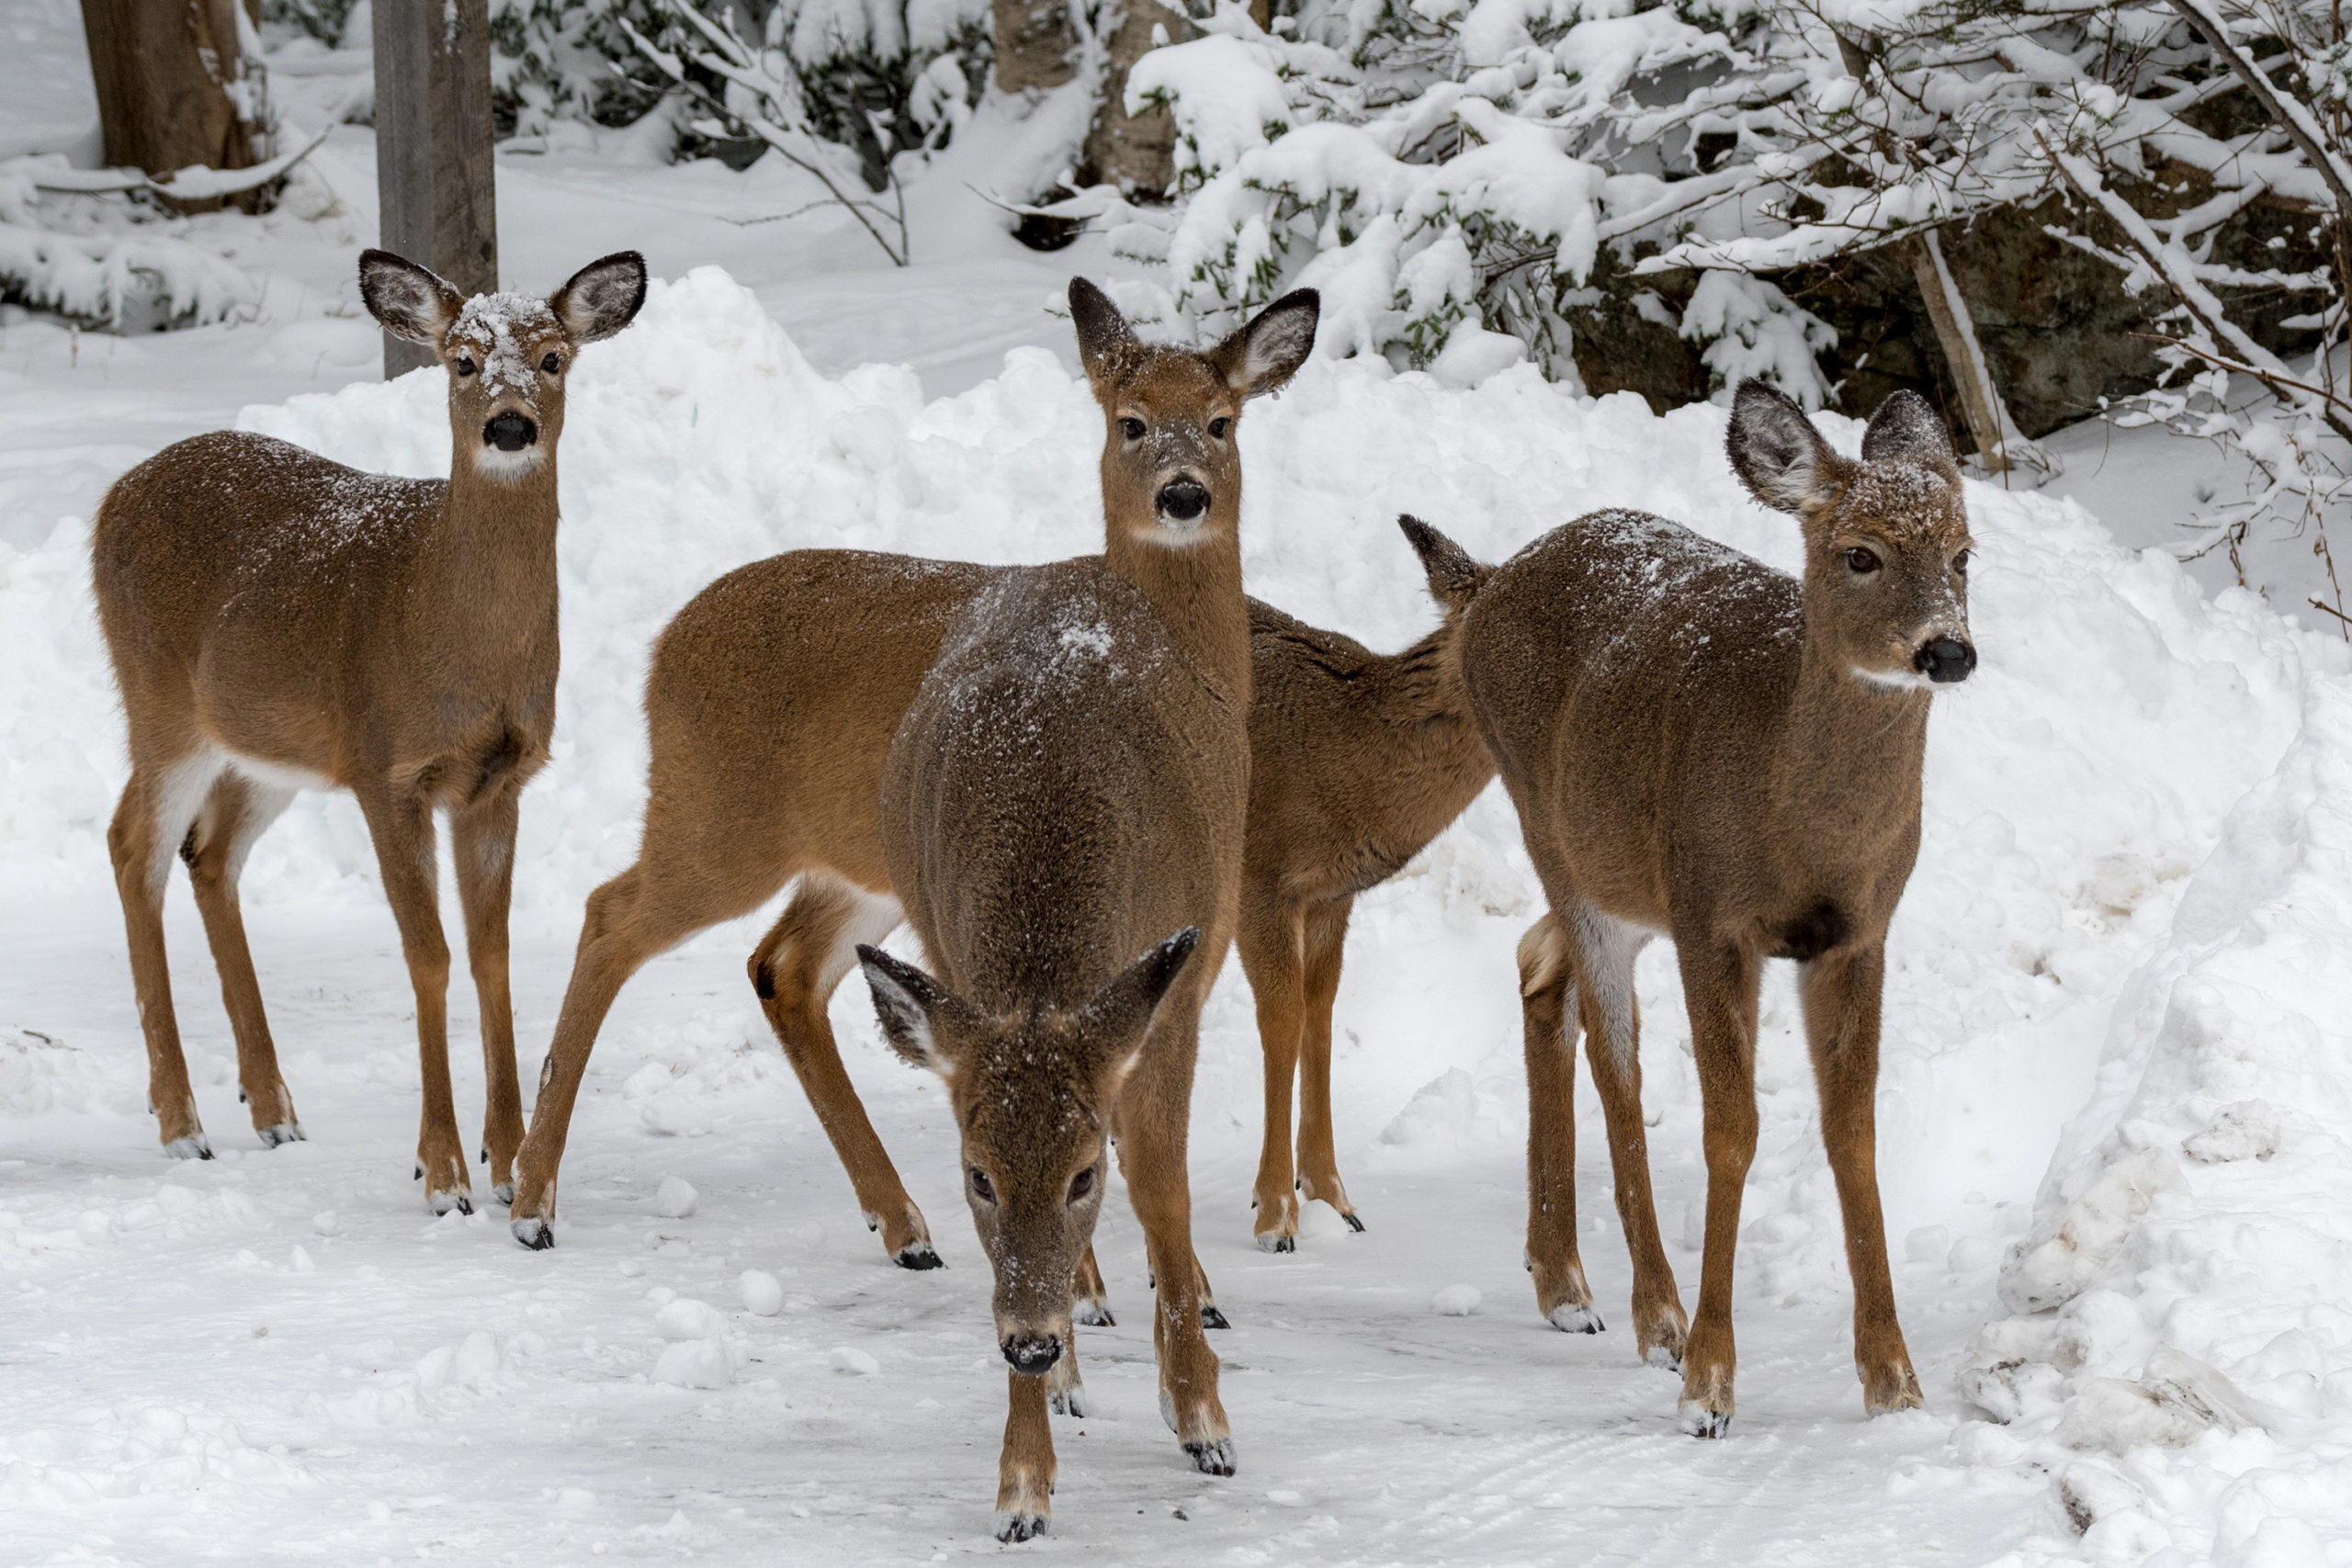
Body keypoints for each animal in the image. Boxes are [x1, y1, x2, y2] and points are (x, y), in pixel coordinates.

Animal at [91, 245, 649, 1213]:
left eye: (553, 358)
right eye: (462, 360)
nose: (509, 426)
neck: (453, 636)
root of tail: (112, 498)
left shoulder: (497, 780)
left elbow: (492, 953)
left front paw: (508, 1159)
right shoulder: (388, 769)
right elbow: (428, 956)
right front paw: (444, 1170)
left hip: (269, 747)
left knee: (211, 854)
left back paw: (273, 1106)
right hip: (162, 704)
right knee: (135, 845)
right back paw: (182, 1121)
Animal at [1458, 380, 1975, 1438]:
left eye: (1964, 552)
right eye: (1858, 552)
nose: (1946, 649)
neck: (1800, 824)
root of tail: (1489, 581)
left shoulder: (1860, 933)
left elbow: (1852, 1131)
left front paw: (1894, 1380)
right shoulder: (1714, 919)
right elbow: (1729, 1131)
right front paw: (1709, 1383)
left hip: (1613, 874)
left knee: (1536, 966)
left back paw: (1561, 1280)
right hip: (1558, 836)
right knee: (1613, 1058)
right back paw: (1651, 1314)